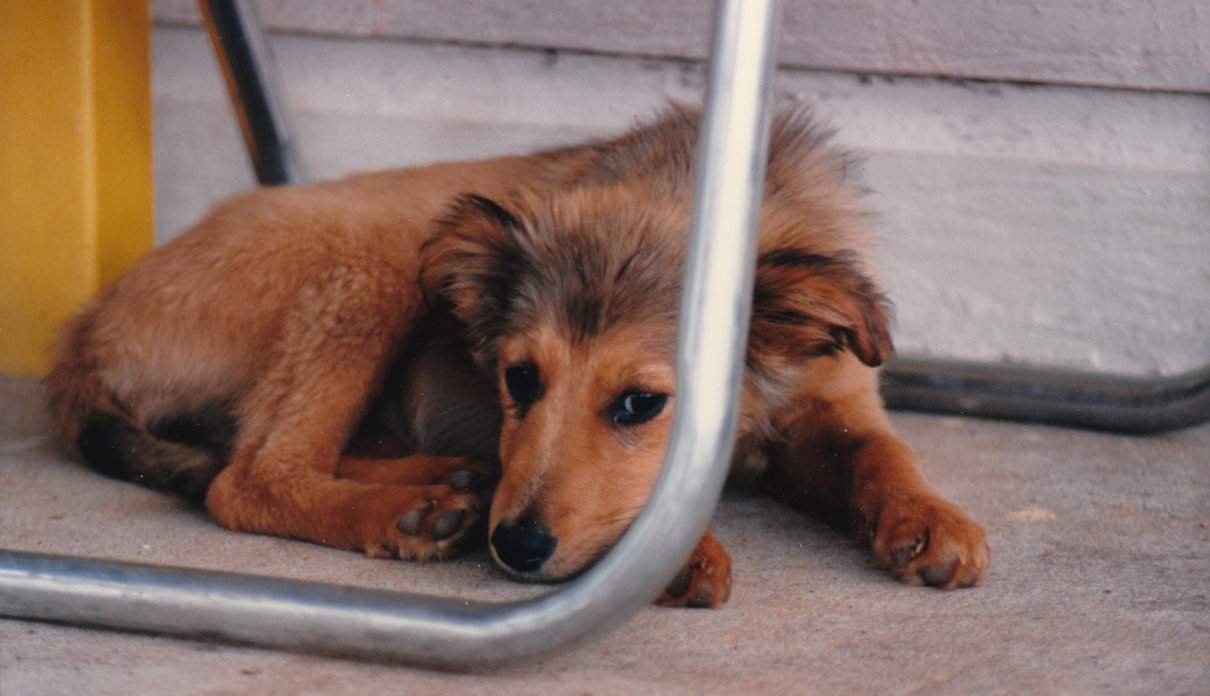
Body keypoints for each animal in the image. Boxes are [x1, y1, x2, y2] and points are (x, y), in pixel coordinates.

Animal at [47, 106, 992, 607]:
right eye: (518, 379)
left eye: (642, 403)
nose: (519, 548)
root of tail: (87, 332)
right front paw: (672, 551)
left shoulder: (833, 401)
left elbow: (881, 451)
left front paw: (929, 520)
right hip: (375, 253)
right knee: (250, 476)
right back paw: (404, 513)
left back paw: (446, 483)